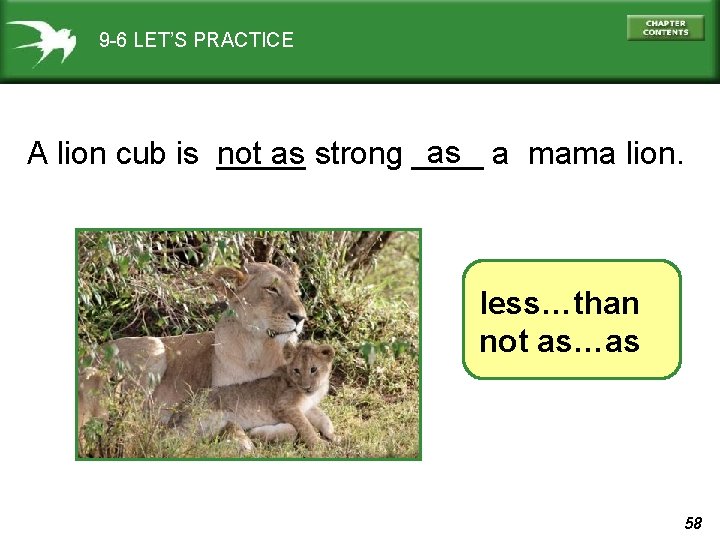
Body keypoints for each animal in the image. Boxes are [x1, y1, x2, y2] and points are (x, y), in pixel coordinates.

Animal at [172, 341, 335, 452]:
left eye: (313, 369)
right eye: (296, 370)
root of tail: (176, 413)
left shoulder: (307, 407)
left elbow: (324, 418)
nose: (306, 387)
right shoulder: (285, 406)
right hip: (211, 419)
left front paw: (334, 436)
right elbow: (306, 426)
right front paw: (319, 445)